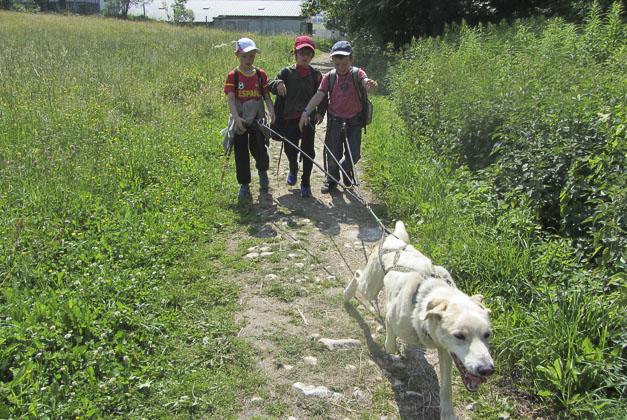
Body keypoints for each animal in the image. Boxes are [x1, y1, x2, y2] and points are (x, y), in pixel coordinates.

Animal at [344, 221, 496, 418]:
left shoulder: (445, 351)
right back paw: (347, 294)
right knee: (357, 274)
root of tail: (394, 239)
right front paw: (393, 349)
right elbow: (390, 344)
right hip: (370, 287)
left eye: (487, 335)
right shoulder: (392, 317)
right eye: (459, 335)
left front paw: (448, 413)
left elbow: (446, 388)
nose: (487, 370)